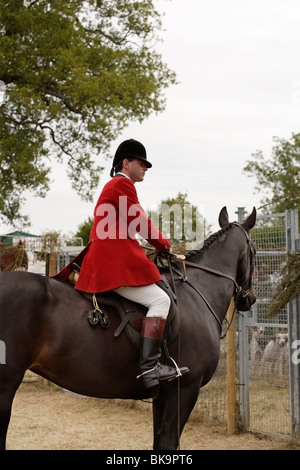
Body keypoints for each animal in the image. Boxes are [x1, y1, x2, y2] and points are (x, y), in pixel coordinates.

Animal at [0, 207, 256, 450]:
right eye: (254, 249)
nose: (250, 299)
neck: (198, 293)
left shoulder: (163, 395)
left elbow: (158, 443)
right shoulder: (185, 388)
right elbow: (169, 443)